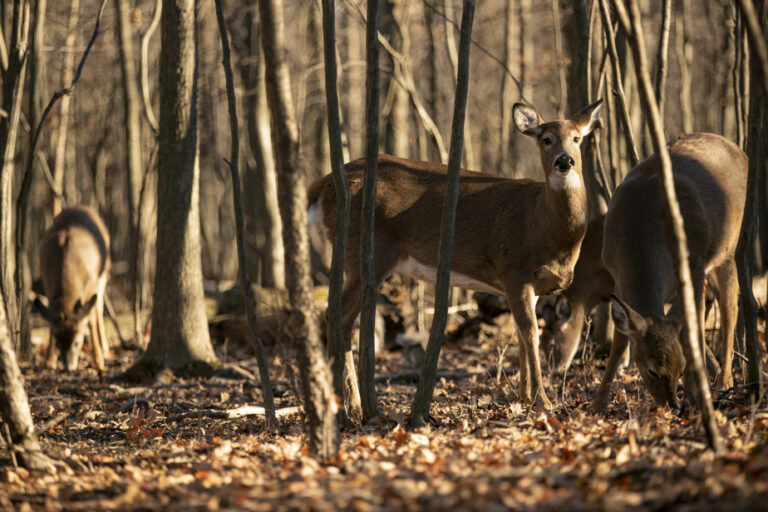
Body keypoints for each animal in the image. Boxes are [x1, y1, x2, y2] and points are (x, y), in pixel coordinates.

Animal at [34, 207, 111, 372]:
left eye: (77, 342)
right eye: (58, 342)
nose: (69, 367)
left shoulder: (91, 284)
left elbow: (91, 320)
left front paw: (99, 361)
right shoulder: (47, 283)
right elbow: (51, 320)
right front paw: (49, 361)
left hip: (104, 274)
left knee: (99, 308)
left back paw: (105, 350)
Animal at [308, 101, 604, 416]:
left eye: (577, 138)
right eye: (546, 139)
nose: (564, 161)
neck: (542, 224)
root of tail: (324, 185)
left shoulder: (531, 285)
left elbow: (520, 333)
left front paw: (524, 397)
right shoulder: (513, 268)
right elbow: (531, 331)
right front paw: (543, 401)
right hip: (367, 250)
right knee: (338, 314)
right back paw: (351, 404)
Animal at [596, 133, 748, 412]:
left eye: (681, 366)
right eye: (652, 370)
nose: (673, 406)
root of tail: (739, 150)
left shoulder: (695, 264)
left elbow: (691, 331)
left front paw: (694, 396)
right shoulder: (615, 274)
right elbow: (619, 341)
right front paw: (597, 404)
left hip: (730, 251)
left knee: (729, 311)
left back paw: (723, 383)